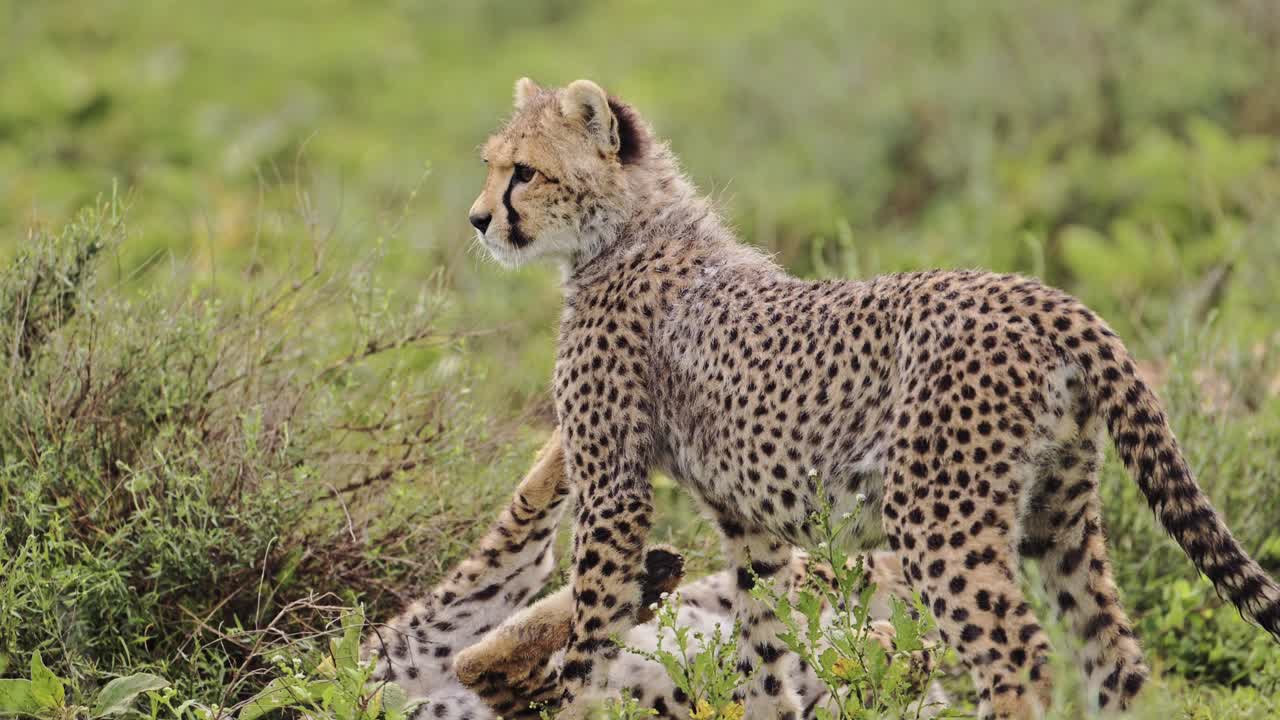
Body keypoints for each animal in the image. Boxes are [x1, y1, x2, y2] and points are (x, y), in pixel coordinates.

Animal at [465, 76, 1280, 719]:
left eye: (524, 172)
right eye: (493, 167)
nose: (478, 220)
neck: (628, 225)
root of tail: (1038, 293)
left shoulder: (613, 491)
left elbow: (592, 629)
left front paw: (575, 703)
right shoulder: (748, 522)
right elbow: (763, 642)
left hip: (937, 516)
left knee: (1018, 652)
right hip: (1058, 514)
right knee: (1113, 656)